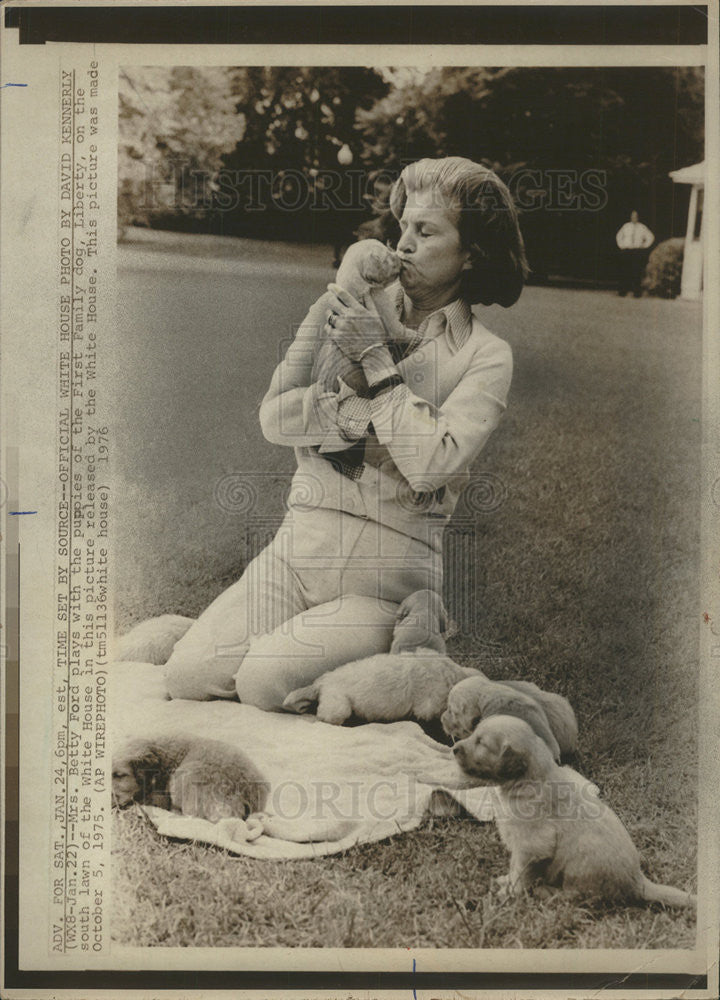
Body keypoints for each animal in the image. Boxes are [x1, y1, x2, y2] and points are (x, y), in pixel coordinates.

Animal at [452, 716, 696, 912]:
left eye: (481, 742)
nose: (454, 748)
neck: (527, 780)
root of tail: (638, 881)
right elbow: (514, 868)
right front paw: (506, 881)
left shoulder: (532, 846)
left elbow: (521, 873)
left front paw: (510, 894)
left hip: (579, 864)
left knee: (580, 897)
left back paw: (547, 893)